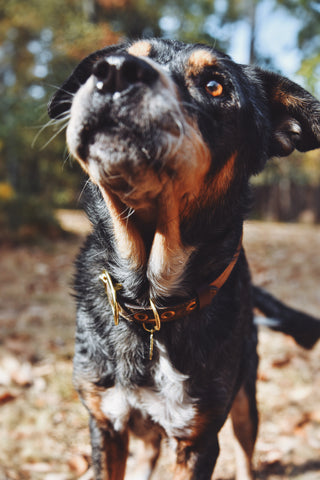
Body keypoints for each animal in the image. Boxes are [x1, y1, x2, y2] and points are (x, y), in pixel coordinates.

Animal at [48, 38, 320, 480]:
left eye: (214, 86)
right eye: (131, 55)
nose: (116, 70)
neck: (150, 303)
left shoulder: (197, 439)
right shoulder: (105, 422)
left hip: (244, 400)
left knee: (246, 451)